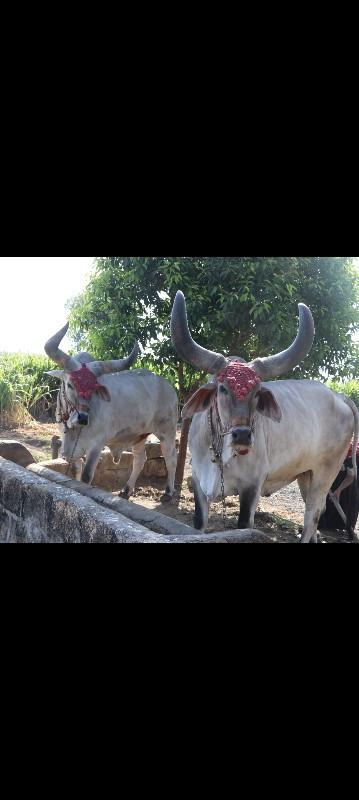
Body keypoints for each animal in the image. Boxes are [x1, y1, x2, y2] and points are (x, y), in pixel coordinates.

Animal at [46, 322, 179, 496]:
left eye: (94, 388)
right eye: (69, 384)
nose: (82, 418)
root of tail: (170, 387)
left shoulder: (96, 446)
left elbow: (86, 476)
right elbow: (76, 470)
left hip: (167, 431)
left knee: (171, 458)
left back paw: (168, 492)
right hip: (140, 435)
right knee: (140, 459)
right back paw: (126, 490)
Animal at [171, 290, 359, 540]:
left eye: (258, 392)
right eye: (222, 389)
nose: (242, 435)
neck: (220, 452)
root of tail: (339, 396)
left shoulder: (252, 486)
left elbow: (244, 526)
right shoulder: (198, 481)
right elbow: (198, 524)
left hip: (327, 471)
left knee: (311, 515)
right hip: (306, 474)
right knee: (318, 511)